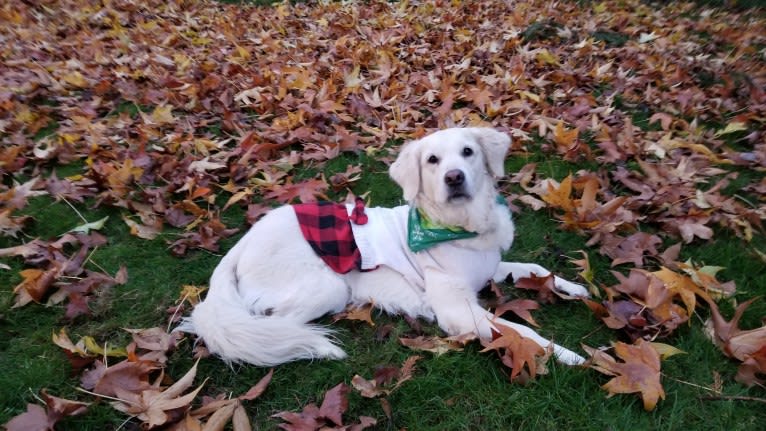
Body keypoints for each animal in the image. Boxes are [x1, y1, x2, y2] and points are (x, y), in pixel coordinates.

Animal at [178, 126, 588, 366]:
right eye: (432, 160)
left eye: (468, 152)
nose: (454, 178)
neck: (461, 226)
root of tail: (240, 246)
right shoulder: (458, 310)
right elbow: (525, 333)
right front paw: (569, 355)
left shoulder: (489, 265)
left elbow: (533, 268)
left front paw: (573, 287)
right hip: (329, 285)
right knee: (273, 326)